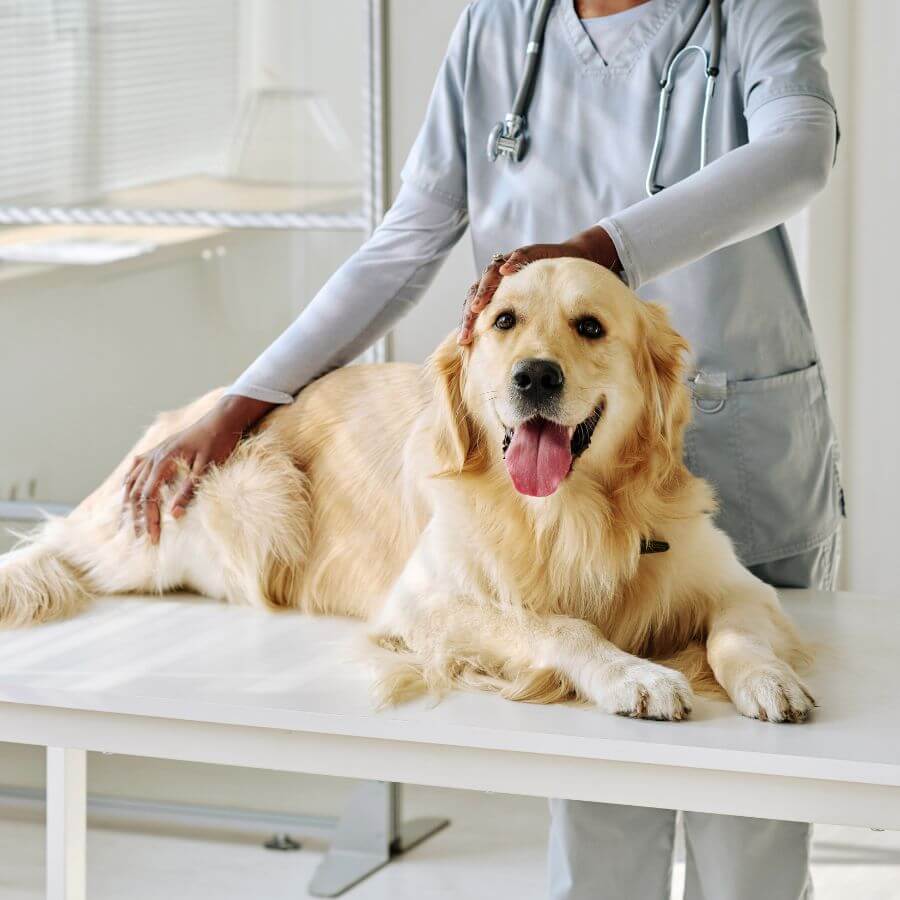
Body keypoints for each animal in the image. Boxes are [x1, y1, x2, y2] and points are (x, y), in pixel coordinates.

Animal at [0, 256, 812, 720]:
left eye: (590, 326)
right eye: (503, 321)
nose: (533, 377)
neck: (569, 511)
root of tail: (176, 420)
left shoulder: (737, 585)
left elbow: (737, 632)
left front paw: (770, 682)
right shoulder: (424, 601)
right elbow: (558, 625)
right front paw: (634, 676)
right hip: (252, 497)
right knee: (66, 548)